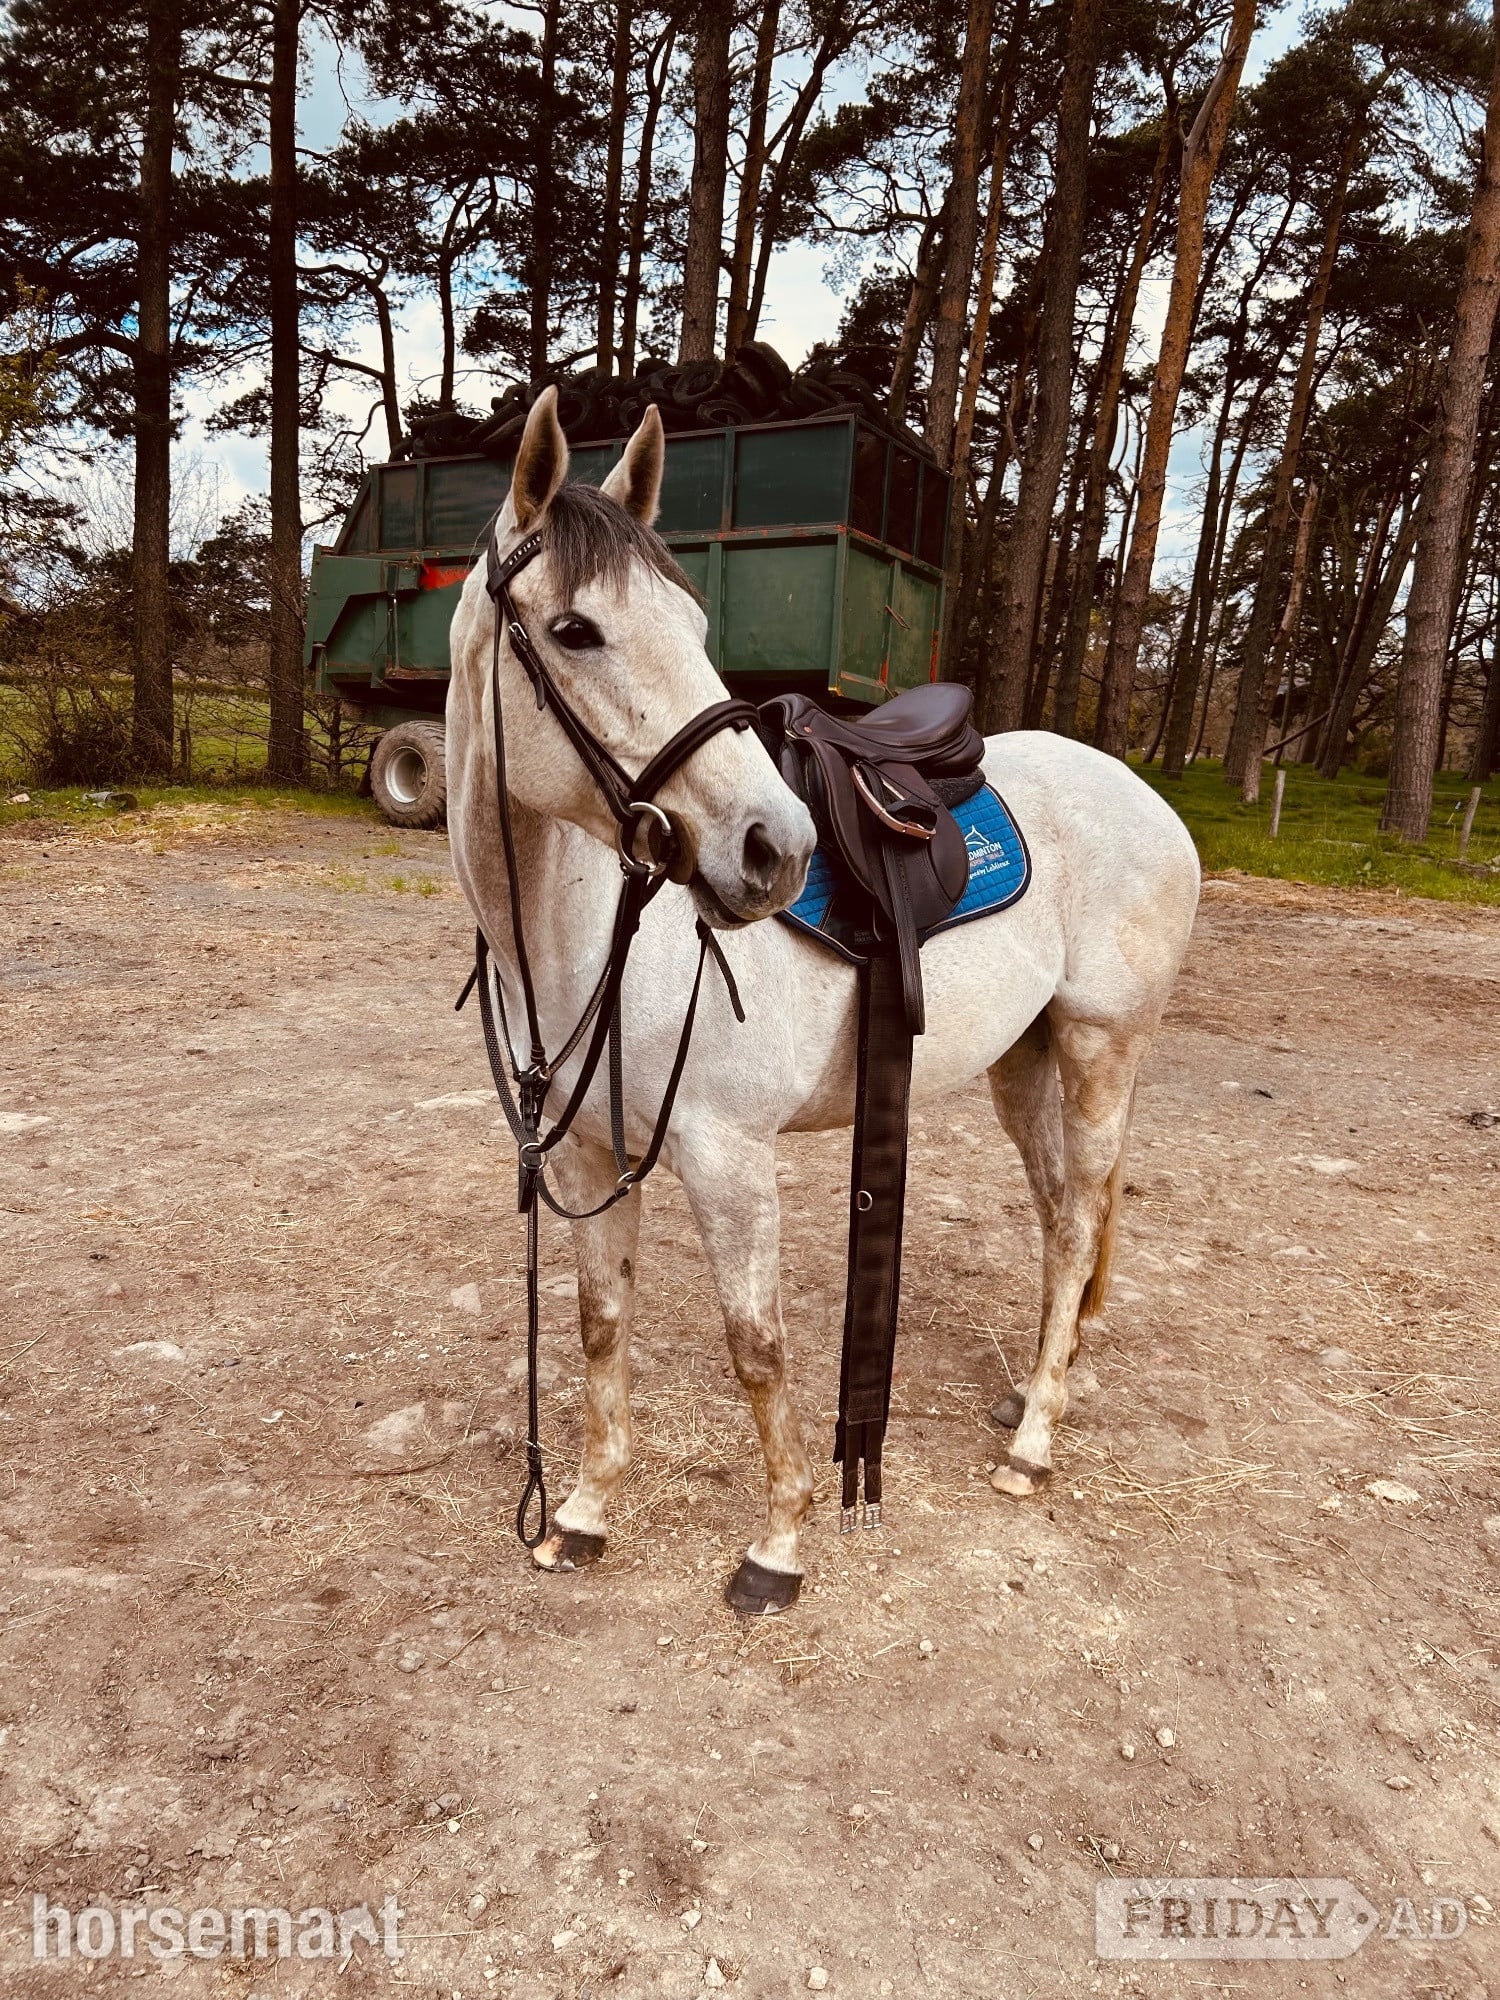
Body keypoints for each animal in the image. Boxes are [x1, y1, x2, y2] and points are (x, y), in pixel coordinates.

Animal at [445, 388, 1201, 1613]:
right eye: (575, 631)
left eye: (696, 624)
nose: (776, 849)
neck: (592, 930)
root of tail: (1142, 794)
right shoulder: (591, 1158)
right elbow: (600, 1327)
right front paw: (587, 1514)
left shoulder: (727, 1159)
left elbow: (757, 1348)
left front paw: (780, 1542)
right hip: (1024, 1063)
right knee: (1058, 1223)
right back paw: (1040, 1391)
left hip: (1101, 1050)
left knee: (1083, 1216)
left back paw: (1034, 1440)